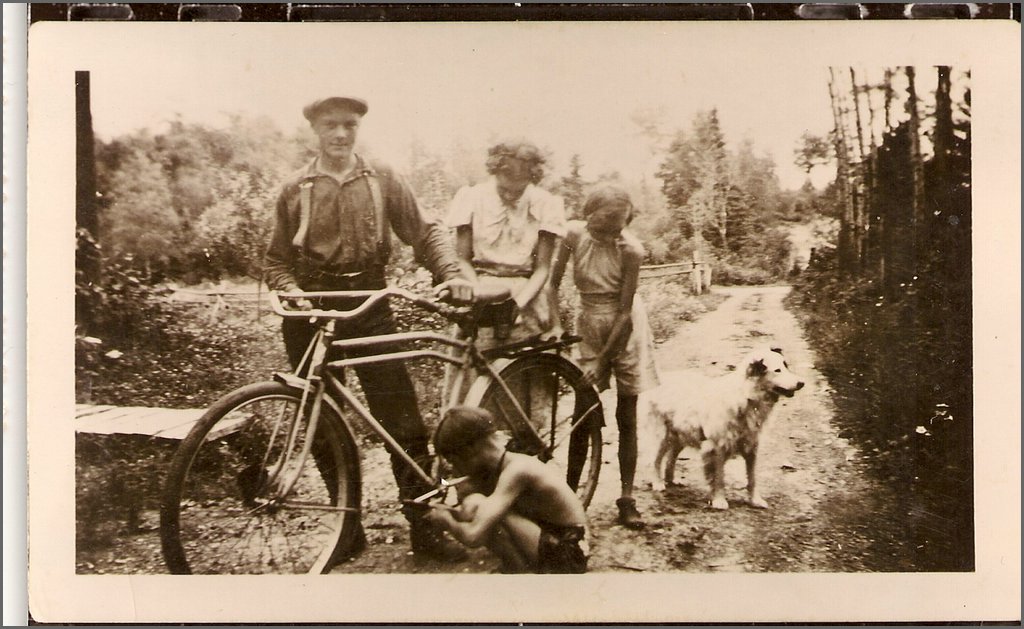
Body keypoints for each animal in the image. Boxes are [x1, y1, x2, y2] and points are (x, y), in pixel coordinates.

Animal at [643, 348, 802, 510]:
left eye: (786, 366)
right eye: (777, 370)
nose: (801, 383)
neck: (746, 396)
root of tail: (659, 379)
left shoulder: (751, 447)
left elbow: (752, 478)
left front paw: (755, 500)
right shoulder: (717, 447)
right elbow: (719, 477)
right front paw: (719, 500)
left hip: (681, 434)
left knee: (671, 456)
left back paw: (671, 480)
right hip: (662, 436)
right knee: (655, 460)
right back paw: (658, 482)